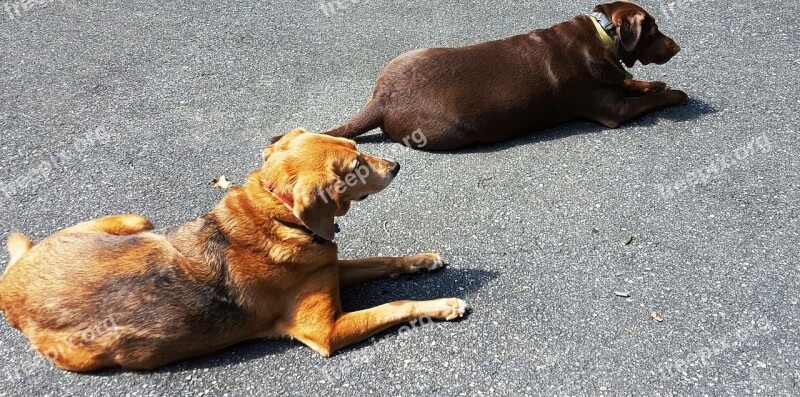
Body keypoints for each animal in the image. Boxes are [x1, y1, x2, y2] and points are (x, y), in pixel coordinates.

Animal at [0, 129, 468, 372]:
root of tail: (13, 279)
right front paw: (445, 304)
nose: (398, 165)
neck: (276, 214)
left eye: (357, 148)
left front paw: (422, 261)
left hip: (135, 220)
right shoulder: (325, 331)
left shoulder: (330, 264)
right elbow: (396, 305)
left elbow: (382, 261)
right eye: (355, 167)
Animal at [324, 1, 688, 150]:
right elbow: (649, 100)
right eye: (654, 30)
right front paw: (675, 94)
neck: (604, 33)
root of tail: (381, 98)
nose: (678, 46)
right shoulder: (614, 111)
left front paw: (653, 83)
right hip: (450, 132)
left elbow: (630, 80)